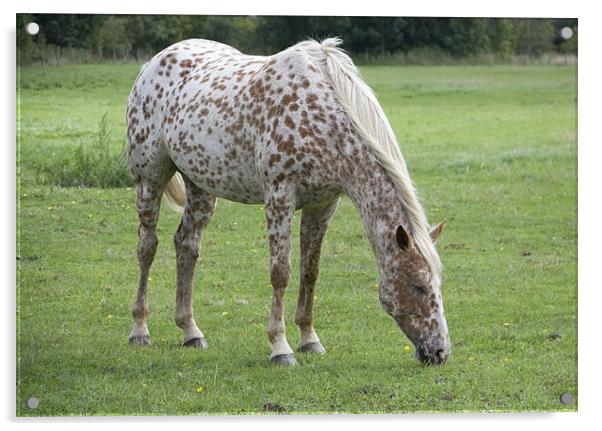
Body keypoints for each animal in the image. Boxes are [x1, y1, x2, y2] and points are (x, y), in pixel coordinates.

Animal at [124, 38, 448, 368]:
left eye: (437, 285)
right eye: (418, 285)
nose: (439, 352)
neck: (324, 120)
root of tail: (153, 63)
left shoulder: (323, 204)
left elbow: (310, 271)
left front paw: (309, 339)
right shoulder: (280, 196)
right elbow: (281, 272)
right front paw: (281, 347)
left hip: (201, 186)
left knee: (187, 245)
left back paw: (191, 331)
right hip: (150, 179)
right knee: (147, 247)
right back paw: (140, 330)